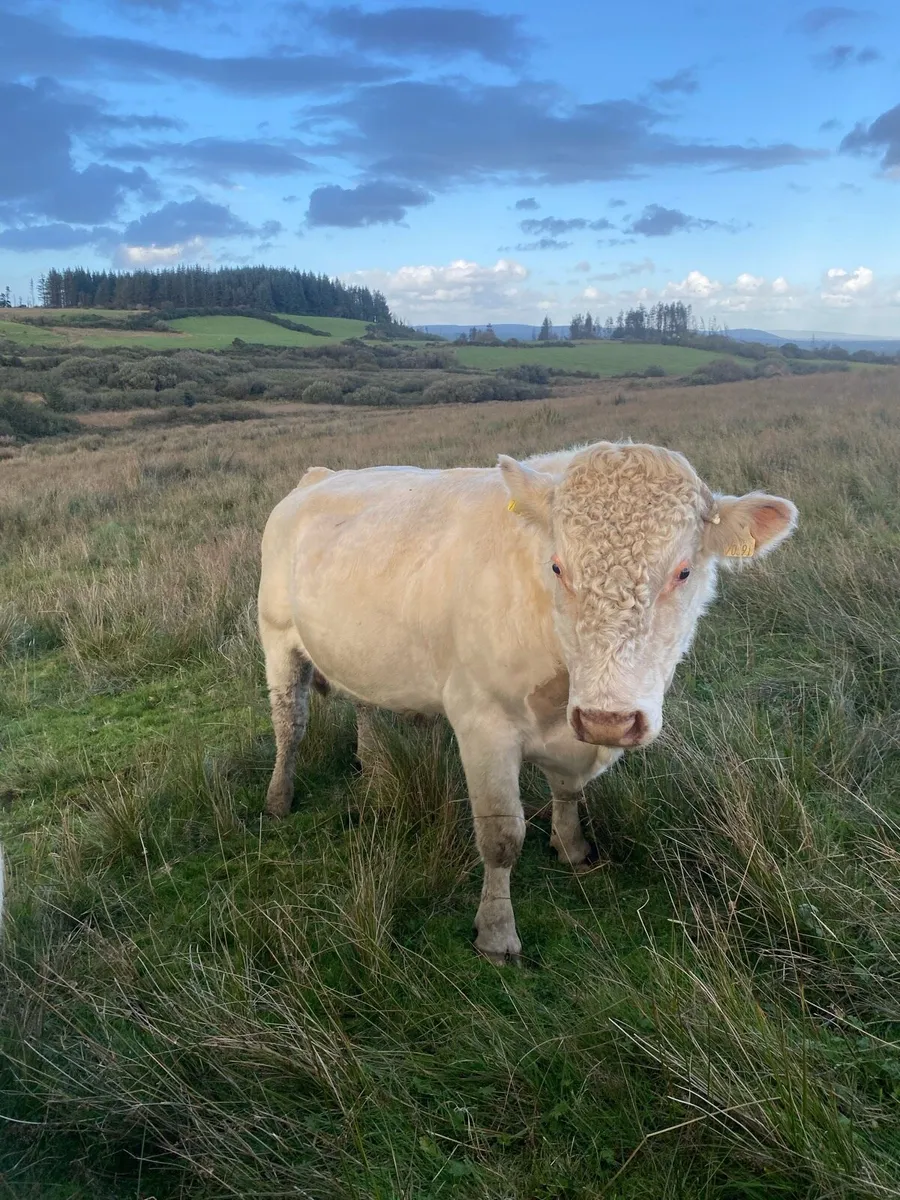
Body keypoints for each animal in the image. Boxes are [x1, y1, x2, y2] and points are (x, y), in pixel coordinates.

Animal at [258, 442, 797, 964]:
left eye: (683, 572)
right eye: (557, 567)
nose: (609, 719)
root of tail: (320, 475)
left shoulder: (573, 734)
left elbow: (569, 791)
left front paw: (572, 846)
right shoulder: (482, 725)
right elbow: (502, 837)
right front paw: (496, 934)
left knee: (364, 705)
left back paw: (372, 767)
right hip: (278, 636)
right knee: (290, 723)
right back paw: (279, 797)